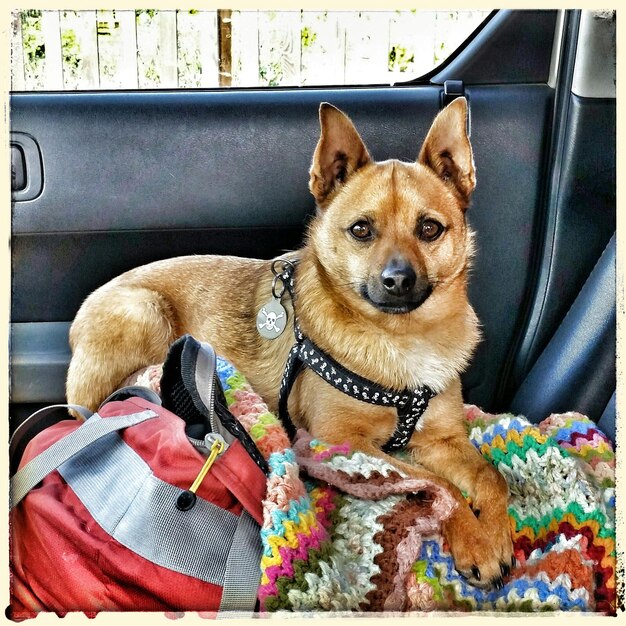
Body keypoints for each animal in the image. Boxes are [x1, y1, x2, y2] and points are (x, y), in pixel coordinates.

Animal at [66, 98, 510, 588]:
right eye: (361, 230)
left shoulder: (444, 439)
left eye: (430, 229)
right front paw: (474, 539)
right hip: (145, 310)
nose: (397, 280)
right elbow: (441, 486)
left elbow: (491, 477)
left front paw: (497, 532)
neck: (401, 337)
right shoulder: (339, 442)